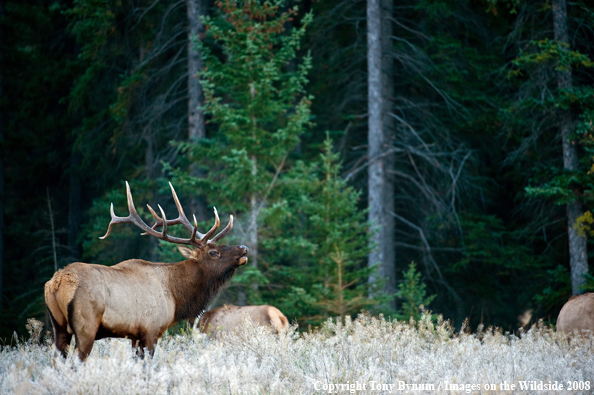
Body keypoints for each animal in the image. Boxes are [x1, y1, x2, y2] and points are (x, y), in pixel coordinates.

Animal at [44, 183, 246, 362]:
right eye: (213, 252)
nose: (244, 249)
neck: (176, 296)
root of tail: (57, 282)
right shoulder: (151, 329)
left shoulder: (135, 335)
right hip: (86, 325)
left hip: (59, 327)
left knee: (56, 361)